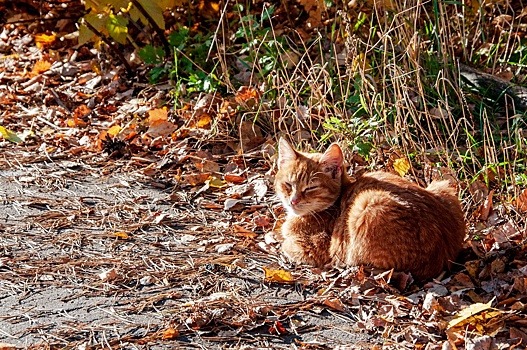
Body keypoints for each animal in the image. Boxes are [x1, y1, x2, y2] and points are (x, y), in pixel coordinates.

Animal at [276, 138, 466, 280]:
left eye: (310, 188)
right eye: (288, 184)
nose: (293, 201)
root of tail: (443, 258)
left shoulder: (315, 246)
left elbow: (286, 244)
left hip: (368, 203)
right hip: (443, 187)